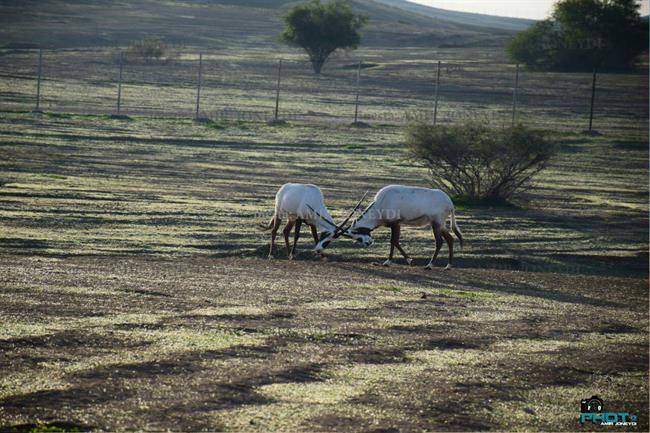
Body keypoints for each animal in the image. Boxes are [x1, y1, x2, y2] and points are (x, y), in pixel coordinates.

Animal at [312, 184, 460, 268]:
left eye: (357, 234)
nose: (369, 243)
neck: (381, 203)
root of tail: (450, 203)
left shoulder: (395, 223)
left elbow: (393, 241)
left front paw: (390, 262)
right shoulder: (397, 224)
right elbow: (396, 241)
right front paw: (408, 260)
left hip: (436, 224)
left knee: (439, 242)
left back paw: (430, 265)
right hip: (440, 225)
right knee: (450, 239)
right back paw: (448, 265)